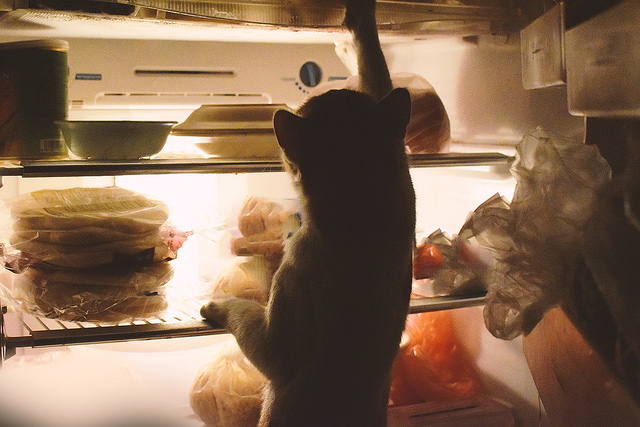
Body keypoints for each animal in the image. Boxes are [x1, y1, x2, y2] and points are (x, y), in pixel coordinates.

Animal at [200, 0, 415, 425]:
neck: (361, 208)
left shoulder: (283, 311)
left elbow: (244, 315)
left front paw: (214, 306)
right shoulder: (403, 176)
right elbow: (376, 72)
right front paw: (359, 18)